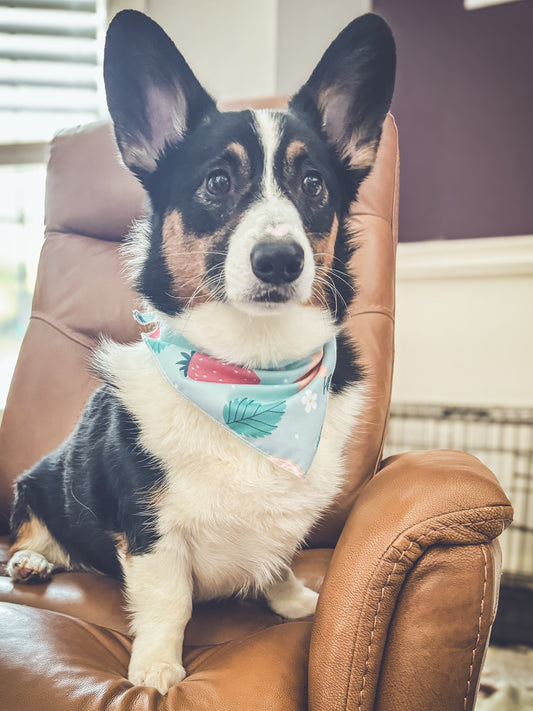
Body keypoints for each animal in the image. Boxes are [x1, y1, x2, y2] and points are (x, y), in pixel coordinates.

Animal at [5, 8, 394, 692]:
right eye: (217, 181)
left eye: (313, 184)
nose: (280, 259)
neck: (249, 374)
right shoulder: (152, 532)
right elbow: (170, 601)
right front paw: (157, 670)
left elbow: (280, 560)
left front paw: (294, 601)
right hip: (37, 483)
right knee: (37, 537)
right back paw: (30, 560)